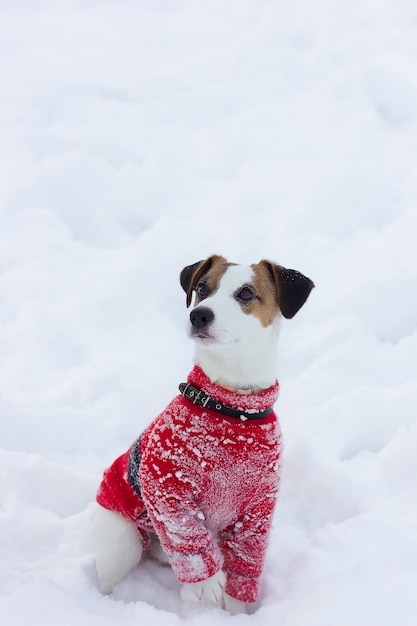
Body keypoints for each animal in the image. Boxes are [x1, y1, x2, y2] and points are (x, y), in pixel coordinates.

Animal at [91, 252, 312, 608]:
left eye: (246, 293)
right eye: (203, 289)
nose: (199, 315)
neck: (234, 410)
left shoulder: (257, 510)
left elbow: (245, 561)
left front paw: (236, 606)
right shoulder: (166, 487)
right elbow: (187, 535)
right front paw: (208, 584)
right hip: (121, 542)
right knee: (112, 576)